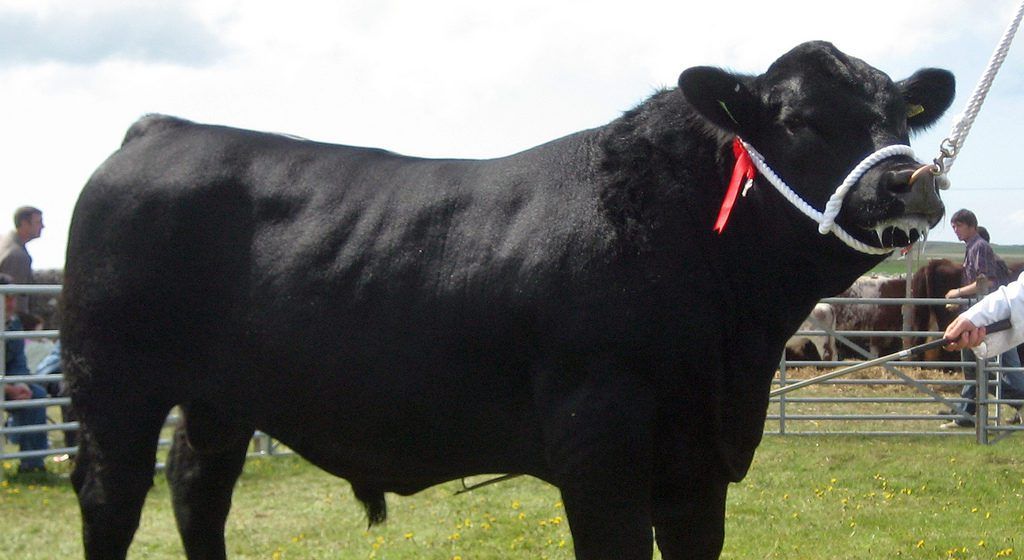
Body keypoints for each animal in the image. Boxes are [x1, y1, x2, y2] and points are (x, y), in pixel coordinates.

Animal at [62, 41, 953, 559]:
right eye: (801, 119)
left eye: (894, 115)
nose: (913, 179)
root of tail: (164, 128)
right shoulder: (599, 450)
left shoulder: (698, 461)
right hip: (111, 383)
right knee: (113, 497)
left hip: (219, 400)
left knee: (196, 489)